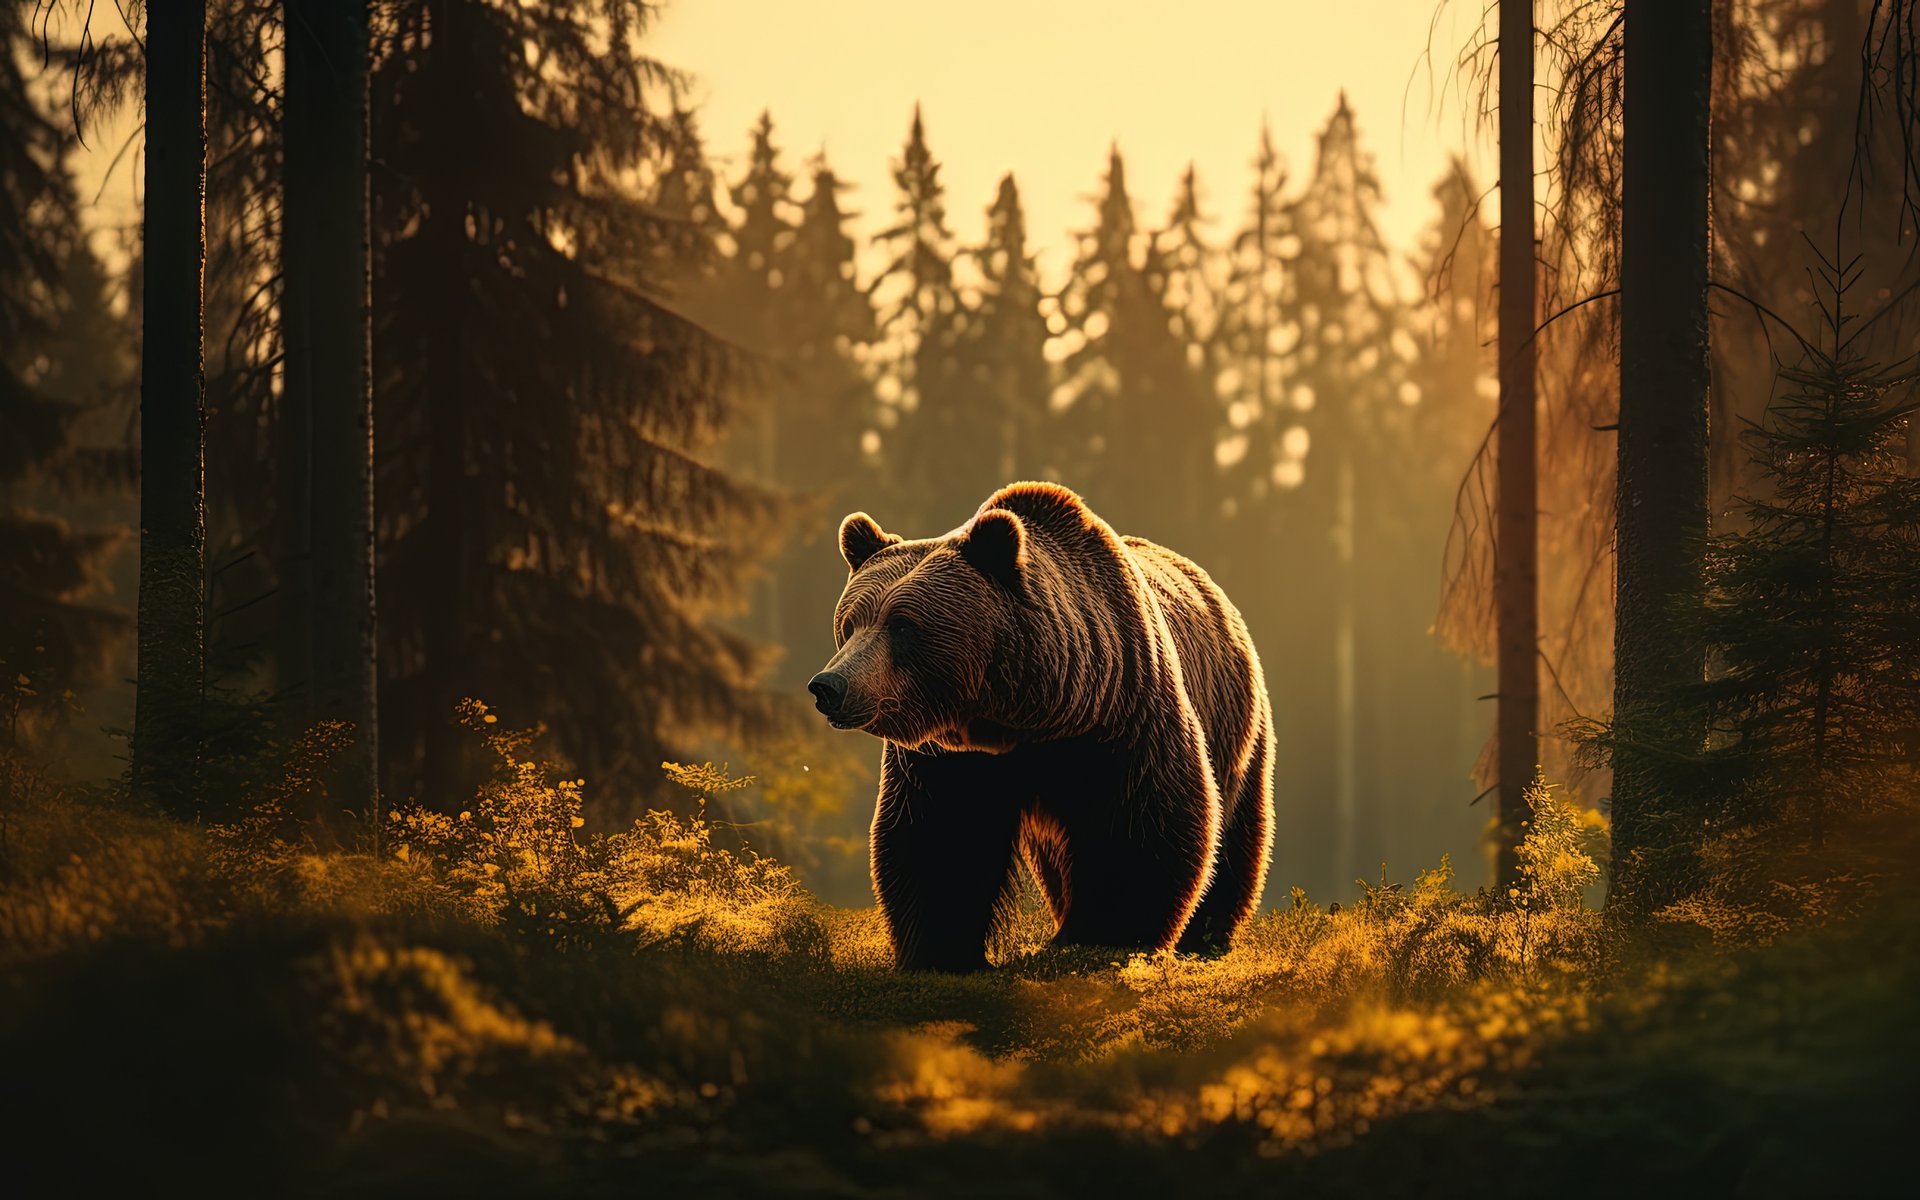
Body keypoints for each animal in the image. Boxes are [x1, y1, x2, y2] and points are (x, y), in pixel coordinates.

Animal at [808, 481, 1275, 972]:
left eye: (901, 624)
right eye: (850, 623)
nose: (829, 686)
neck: (1020, 719)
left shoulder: (1123, 720)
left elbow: (1142, 828)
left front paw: (1102, 937)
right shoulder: (950, 759)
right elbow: (940, 838)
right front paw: (942, 952)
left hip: (1236, 724)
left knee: (1235, 832)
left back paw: (1206, 937)